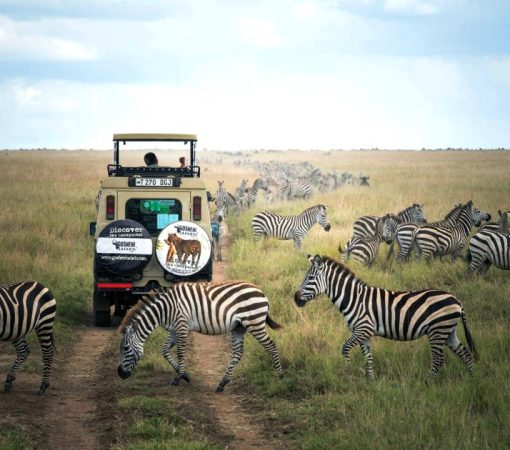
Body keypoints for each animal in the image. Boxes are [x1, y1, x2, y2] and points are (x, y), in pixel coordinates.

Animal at [117, 281, 283, 392]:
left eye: (125, 348)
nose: (120, 374)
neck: (165, 309)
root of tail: (261, 292)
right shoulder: (174, 330)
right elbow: (164, 351)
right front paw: (185, 375)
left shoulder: (182, 327)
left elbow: (180, 352)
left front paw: (178, 378)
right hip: (239, 327)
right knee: (238, 353)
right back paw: (222, 383)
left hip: (254, 323)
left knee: (271, 345)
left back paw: (279, 376)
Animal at [294, 255, 477, 379]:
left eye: (310, 278)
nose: (295, 298)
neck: (354, 299)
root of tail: (456, 300)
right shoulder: (364, 334)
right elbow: (368, 357)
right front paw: (371, 381)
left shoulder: (363, 329)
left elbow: (345, 348)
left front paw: (348, 371)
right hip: (448, 331)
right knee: (464, 353)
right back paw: (471, 379)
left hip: (437, 331)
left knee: (439, 359)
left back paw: (428, 382)